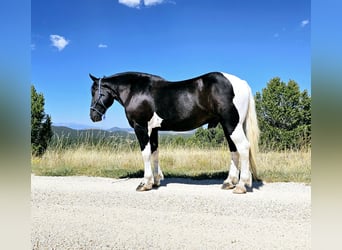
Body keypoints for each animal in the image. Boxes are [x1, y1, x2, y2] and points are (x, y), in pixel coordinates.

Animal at [89, 71, 258, 194]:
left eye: (94, 92)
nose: (93, 116)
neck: (136, 90)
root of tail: (241, 83)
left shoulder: (141, 127)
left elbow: (145, 153)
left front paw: (145, 183)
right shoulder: (154, 130)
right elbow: (155, 152)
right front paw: (156, 181)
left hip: (231, 124)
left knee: (243, 148)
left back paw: (241, 186)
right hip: (228, 126)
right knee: (234, 150)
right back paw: (229, 182)